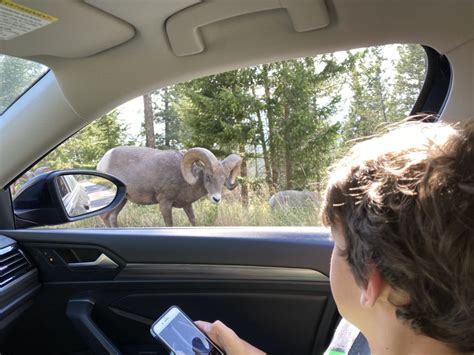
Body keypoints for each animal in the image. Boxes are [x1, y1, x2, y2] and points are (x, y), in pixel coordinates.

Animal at [97, 147, 243, 228]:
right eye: (208, 176)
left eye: (224, 178)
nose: (216, 199)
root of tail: (102, 162)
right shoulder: (165, 203)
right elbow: (169, 224)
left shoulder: (187, 205)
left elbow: (193, 220)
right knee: (104, 216)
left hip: (122, 200)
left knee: (111, 217)